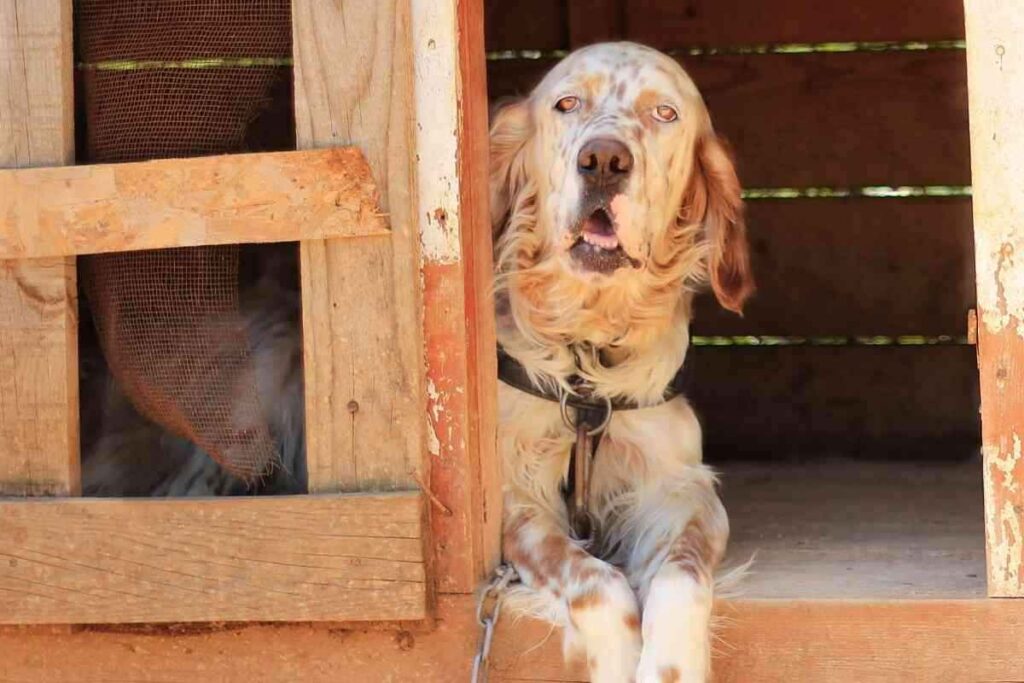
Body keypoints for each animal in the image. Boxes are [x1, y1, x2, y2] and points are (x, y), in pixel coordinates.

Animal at [487, 44, 753, 683]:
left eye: (664, 113)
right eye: (566, 103)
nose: (604, 160)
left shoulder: (680, 488)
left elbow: (681, 579)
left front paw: (670, 664)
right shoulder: (516, 500)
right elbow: (595, 580)